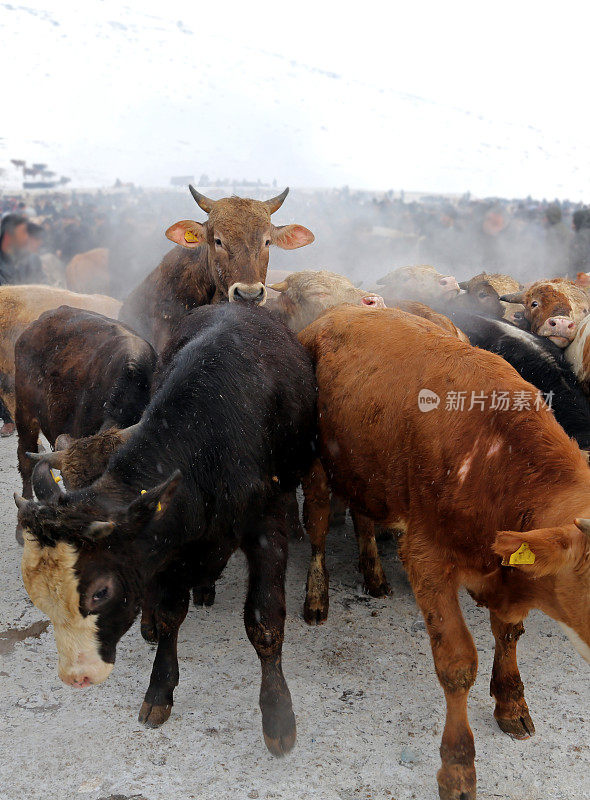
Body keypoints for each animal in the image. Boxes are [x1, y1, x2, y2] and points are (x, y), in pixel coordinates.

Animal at [15, 302, 320, 756]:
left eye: (100, 591)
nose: (77, 675)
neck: (209, 445)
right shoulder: (170, 550)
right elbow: (170, 615)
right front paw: (159, 691)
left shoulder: (266, 531)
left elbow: (264, 622)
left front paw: (278, 717)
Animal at [300, 304, 590, 800]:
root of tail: (342, 308)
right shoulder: (426, 558)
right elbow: (457, 665)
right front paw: (458, 770)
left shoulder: (508, 572)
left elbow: (508, 634)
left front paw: (511, 701)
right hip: (319, 465)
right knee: (318, 523)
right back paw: (316, 598)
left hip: (368, 470)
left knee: (362, 515)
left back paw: (373, 576)